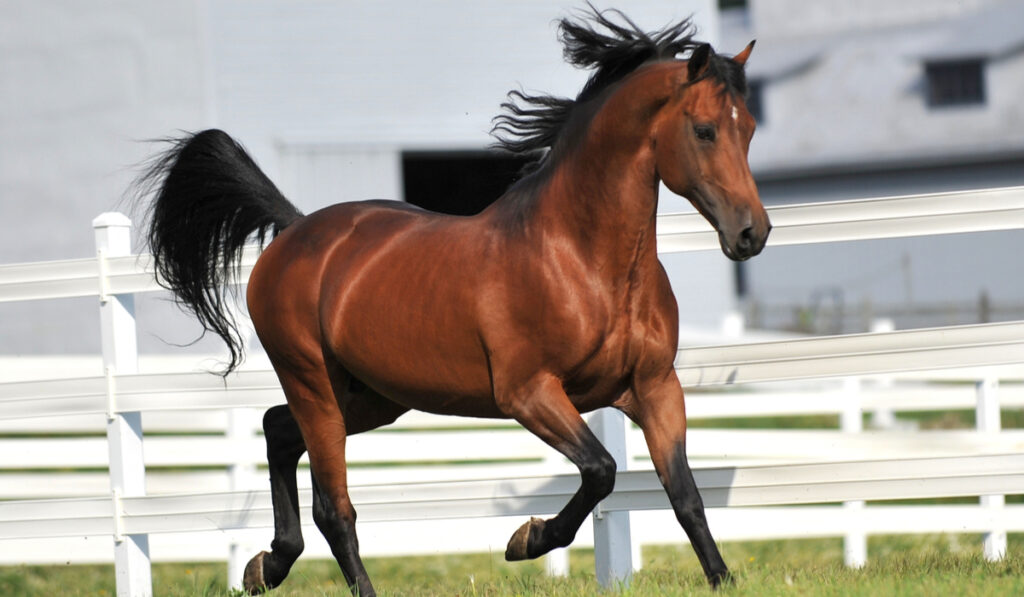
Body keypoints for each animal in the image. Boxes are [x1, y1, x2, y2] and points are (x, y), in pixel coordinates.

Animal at [138, 7, 770, 593]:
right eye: (705, 129)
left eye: (750, 129)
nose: (751, 234)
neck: (583, 262)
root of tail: (295, 230)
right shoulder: (529, 393)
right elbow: (601, 470)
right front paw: (526, 539)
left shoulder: (655, 388)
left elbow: (685, 494)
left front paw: (722, 579)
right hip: (312, 383)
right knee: (333, 509)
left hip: (371, 397)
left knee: (276, 430)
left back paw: (263, 566)